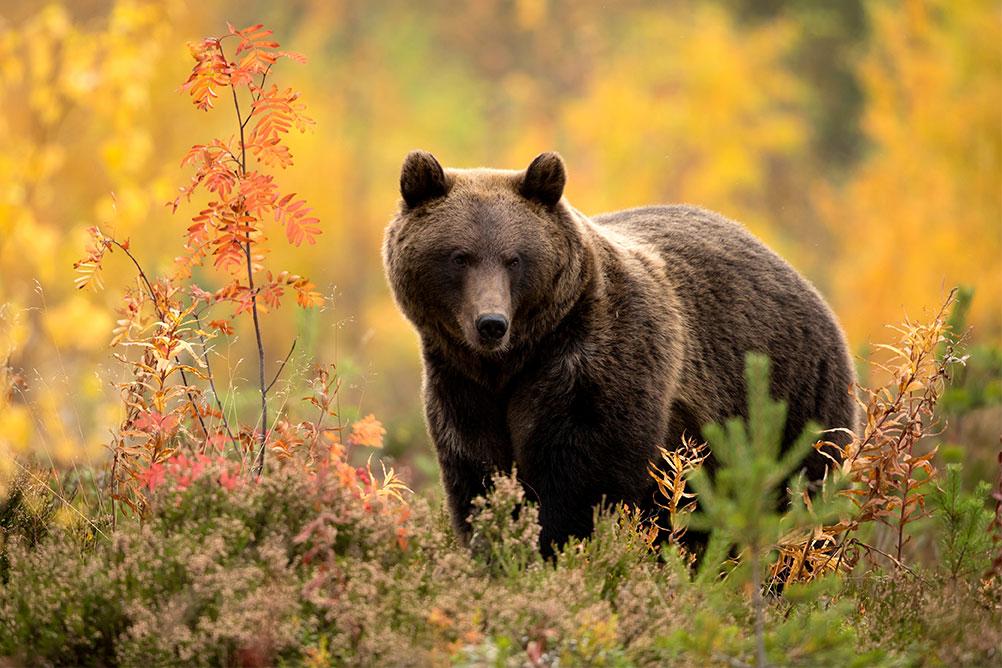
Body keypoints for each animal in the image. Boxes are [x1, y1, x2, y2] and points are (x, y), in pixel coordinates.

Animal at [378, 151, 857, 552]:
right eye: (459, 256)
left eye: (515, 258)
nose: (491, 323)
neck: (514, 360)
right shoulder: (462, 384)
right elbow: (477, 474)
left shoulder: (595, 364)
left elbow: (583, 481)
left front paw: (559, 547)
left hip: (791, 404)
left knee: (802, 498)